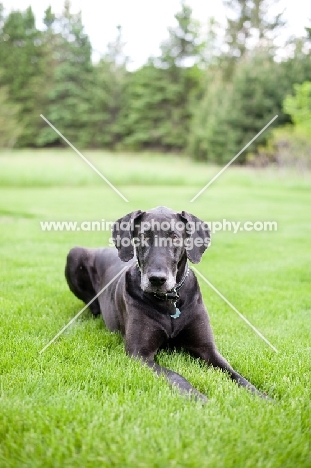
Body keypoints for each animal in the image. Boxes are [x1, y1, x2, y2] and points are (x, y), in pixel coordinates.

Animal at [66, 207, 266, 400]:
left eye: (174, 237)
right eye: (144, 236)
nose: (157, 279)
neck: (169, 302)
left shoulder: (207, 349)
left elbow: (234, 374)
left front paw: (262, 398)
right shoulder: (139, 354)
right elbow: (175, 376)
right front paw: (198, 398)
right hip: (74, 253)